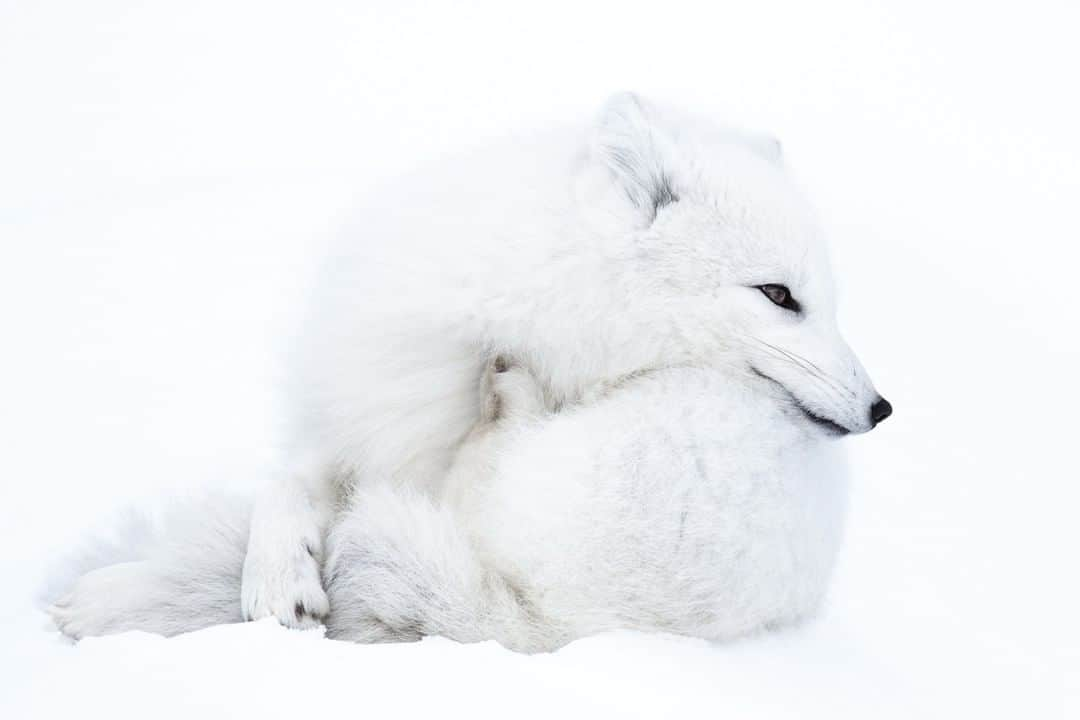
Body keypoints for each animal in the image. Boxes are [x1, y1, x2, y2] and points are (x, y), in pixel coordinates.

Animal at [46, 92, 889, 651]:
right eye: (779, 296)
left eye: (821, 300)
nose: (882, 409)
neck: (532, 307)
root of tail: (542, 623)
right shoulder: (379, 417)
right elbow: (289, 484)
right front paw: (278, 577)